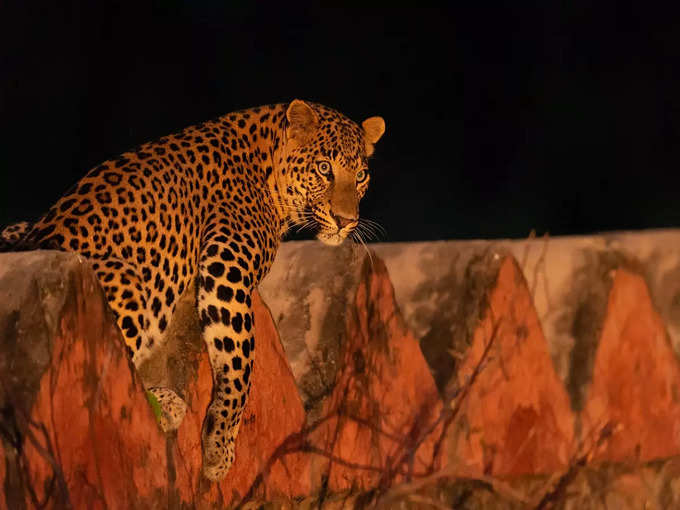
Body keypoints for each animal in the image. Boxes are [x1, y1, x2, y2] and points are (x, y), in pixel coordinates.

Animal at [0, 100, 386, 482]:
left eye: (361, 175)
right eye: (324, 168)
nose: (346, 221)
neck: (266, 166)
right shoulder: (226, 267)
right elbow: (240, 362)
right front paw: (220, 446)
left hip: (19, 230)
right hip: (125, 278)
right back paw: (164, 403)